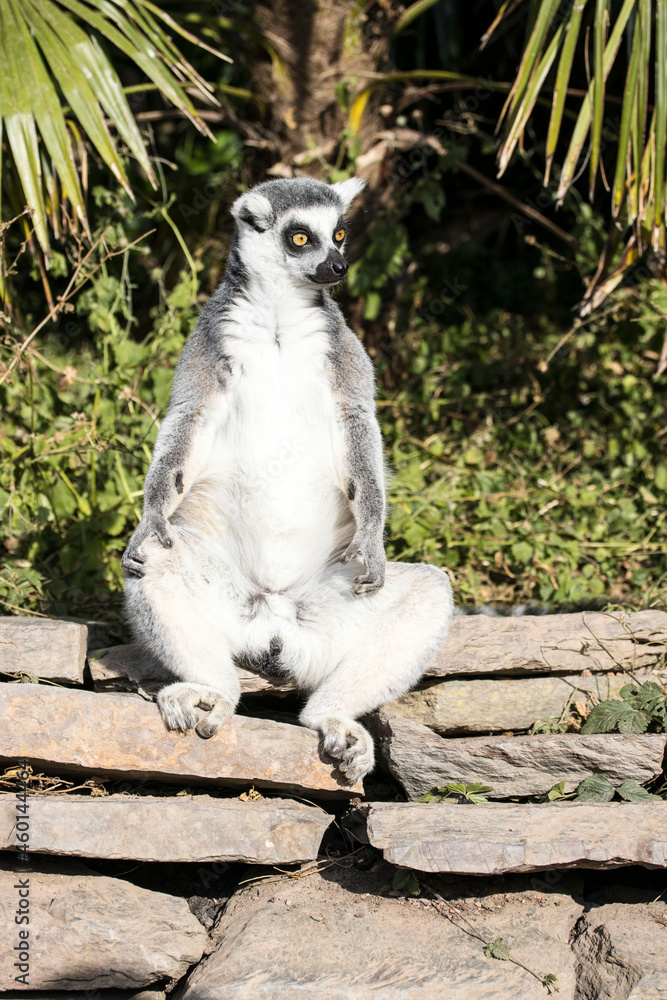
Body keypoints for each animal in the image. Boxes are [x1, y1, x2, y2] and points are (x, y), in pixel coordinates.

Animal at [121, 177, 453, 785]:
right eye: (301, 237)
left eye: (340, 233)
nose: (339, 265)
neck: (277, 314)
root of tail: (274, 624)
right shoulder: (209, 341)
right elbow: (187, 415)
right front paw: (153, 509)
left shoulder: (341, 350)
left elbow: (358, 419)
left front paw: (372, 534)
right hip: (233, 608)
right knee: (153, 554)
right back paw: (210, 690)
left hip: (326, 613)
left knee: (428, 593)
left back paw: (335, 718)